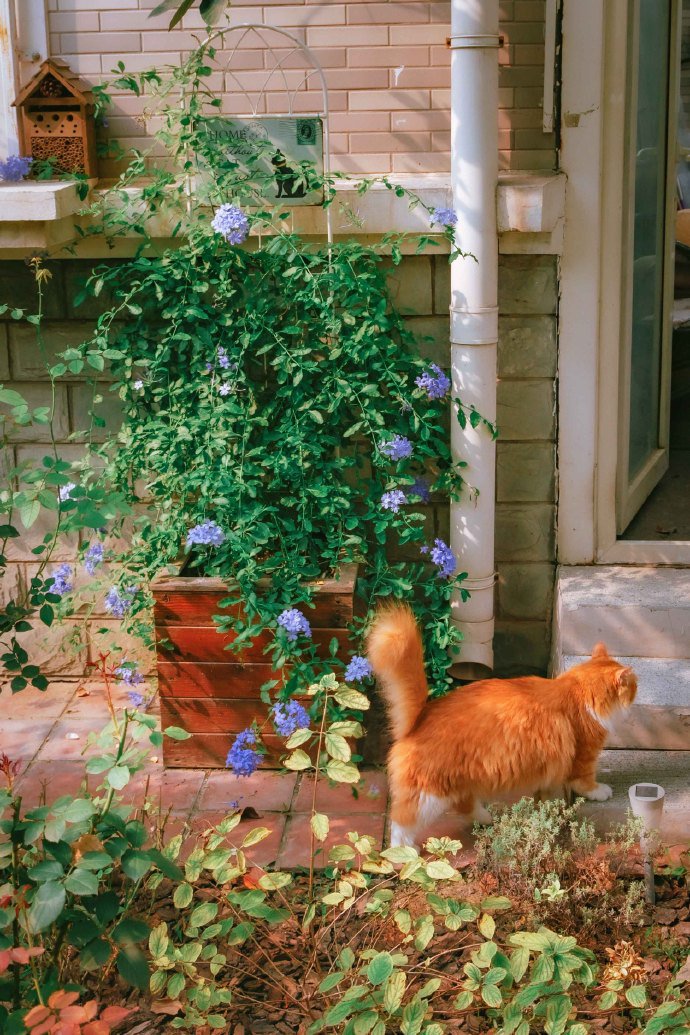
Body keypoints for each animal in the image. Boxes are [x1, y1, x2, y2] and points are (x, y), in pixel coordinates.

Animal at [366, 604, 637, 844]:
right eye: (634, 686)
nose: (637, 691)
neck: (579, 692)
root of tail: (422, 714)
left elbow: (546, 794)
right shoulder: (584, 753)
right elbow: (585, 781)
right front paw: (599, 792)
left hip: (457, 783)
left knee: (464, 805)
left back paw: (487, 819)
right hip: (430, 794)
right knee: (402, 821)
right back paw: (403, 852)